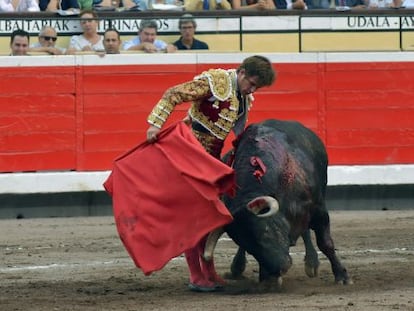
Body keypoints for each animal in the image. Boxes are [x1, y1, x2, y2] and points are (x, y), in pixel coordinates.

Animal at [205, 119, 350, 288]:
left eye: (266, 231)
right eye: (249, 246)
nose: (279, 269)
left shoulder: (319, 210)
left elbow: (325, 244)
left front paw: (342, 276)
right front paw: (267, 278)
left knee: (306, 232)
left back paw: (312, 263)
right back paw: (237, 268)